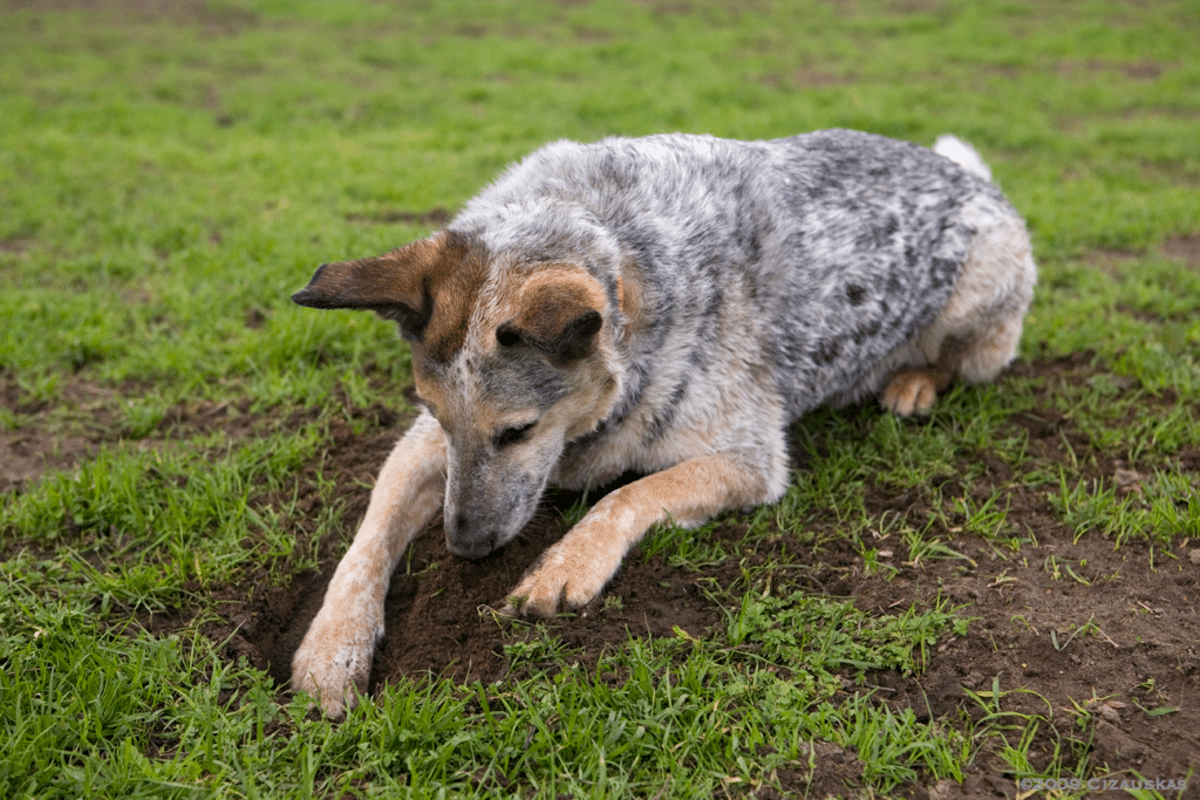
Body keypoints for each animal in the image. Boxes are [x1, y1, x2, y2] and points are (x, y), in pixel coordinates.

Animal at [288, 128, 1032, 714]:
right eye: (438, 417)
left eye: (518, 431)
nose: (465, 548)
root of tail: (972, 174)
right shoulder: (422, 450)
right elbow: (365, 543)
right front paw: (332, 649)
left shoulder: (748, 458)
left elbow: (626, 496)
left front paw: (565, 566)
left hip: (985, 282)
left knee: (962, 358)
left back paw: (912, 381)